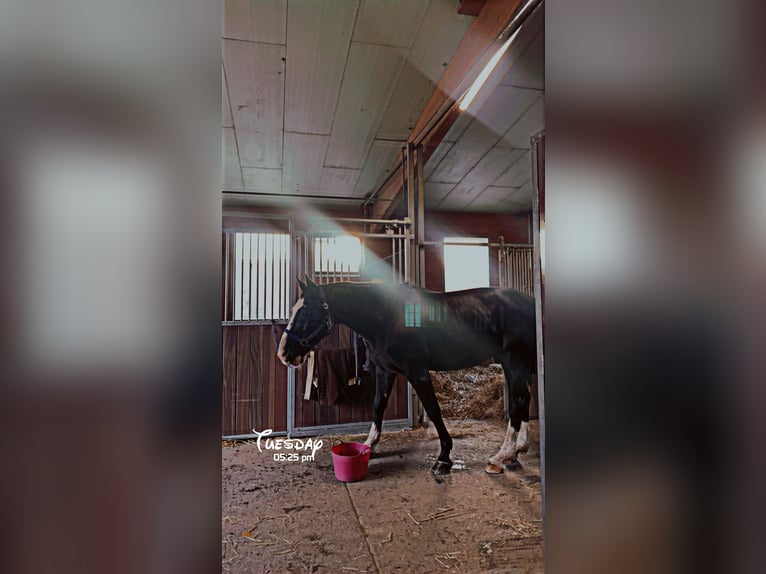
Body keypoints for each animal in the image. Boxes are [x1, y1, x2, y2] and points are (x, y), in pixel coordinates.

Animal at [280, 276, 536, 476]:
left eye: (307, 311)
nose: (284, 353)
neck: (386, 318)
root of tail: (530, 302)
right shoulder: (385, 371)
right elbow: (378, 405)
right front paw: (370, 445)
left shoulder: (417, 372)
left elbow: (433, 410)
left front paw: (443, 458)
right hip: (518, 366)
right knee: (524, 400)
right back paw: (517, 451)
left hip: (514, 364)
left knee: (517, 404)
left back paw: (500, 457)